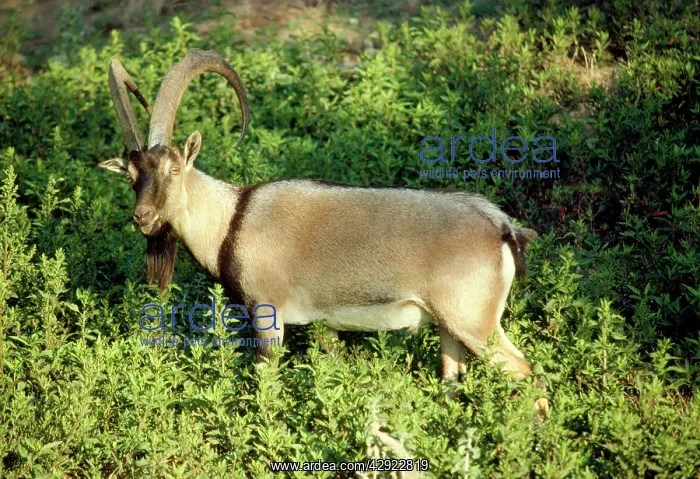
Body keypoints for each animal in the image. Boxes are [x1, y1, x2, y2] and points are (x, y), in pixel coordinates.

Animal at [100, 49, 546, 407]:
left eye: (174, 168)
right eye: (131, 176)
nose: (143, 217)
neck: (232, 220)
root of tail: (502, 228)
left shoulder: (268, 316)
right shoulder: (324, 323)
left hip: (475, 322)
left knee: (530, 376)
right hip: (451, 327)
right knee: (453, 378)